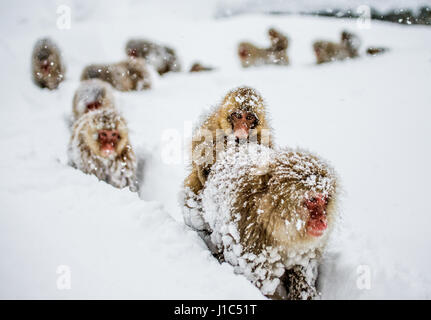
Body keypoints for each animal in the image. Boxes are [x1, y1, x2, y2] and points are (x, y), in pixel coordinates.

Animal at [189, 145, 338, 300]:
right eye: (313, 200)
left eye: (325, 200)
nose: (323, 220)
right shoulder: (248, 235)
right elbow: (260, 283)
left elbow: (304, 267)